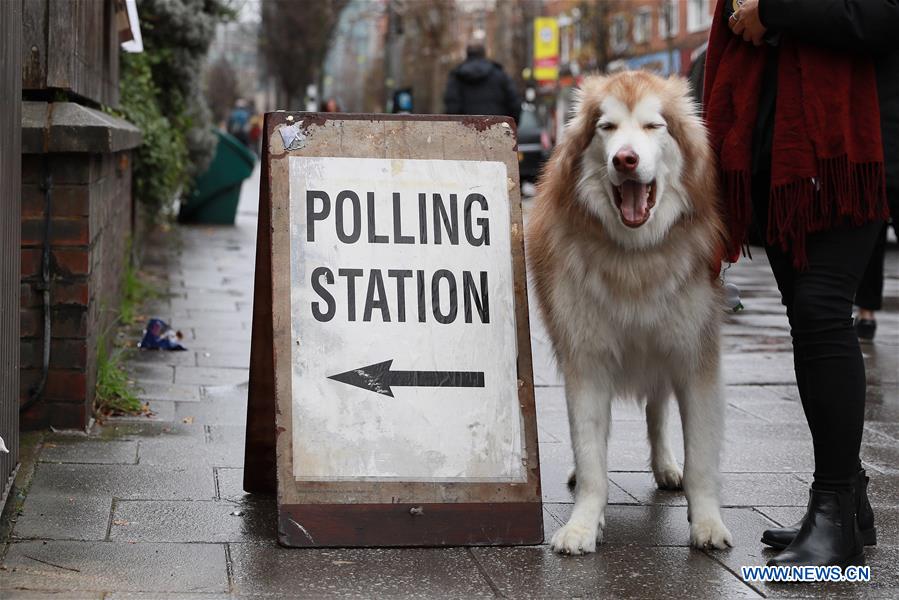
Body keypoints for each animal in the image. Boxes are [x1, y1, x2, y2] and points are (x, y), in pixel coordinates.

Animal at [532, 72, 736, 556]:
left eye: (652, 126)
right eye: (605, 128)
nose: (625, 159)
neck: (636, 257)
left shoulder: (695, 358)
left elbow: (701, 458)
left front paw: (706, 522)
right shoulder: (585, 361)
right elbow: (591, 458)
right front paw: (584, 525)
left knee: (658, 411)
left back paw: (666, 467)